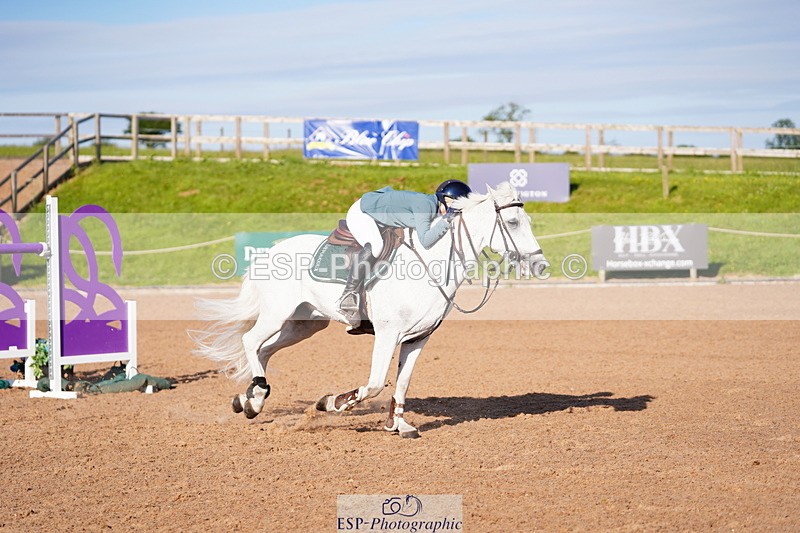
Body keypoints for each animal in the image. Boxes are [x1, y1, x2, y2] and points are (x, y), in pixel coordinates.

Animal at [192, 181, 547, 438]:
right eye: (512, 222)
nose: (540, 265)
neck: (433, 264)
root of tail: (270, 250)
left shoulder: (417, 339)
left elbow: (401, 384)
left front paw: (399, 425)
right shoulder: (388, 334)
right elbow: (375, 384)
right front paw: (331, 403)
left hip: (305, 324)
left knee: (265, 351)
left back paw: (251, 399)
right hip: (277, 314)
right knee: (251, 341)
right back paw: (255, 397)